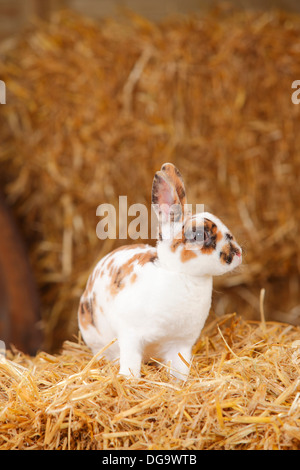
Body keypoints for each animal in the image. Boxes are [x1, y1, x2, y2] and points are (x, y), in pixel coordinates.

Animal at [78, 163, 241, 380]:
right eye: (200, 235)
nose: (237, 253)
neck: (181, 275)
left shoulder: (181, 344)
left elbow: (180, 368)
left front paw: (180, 382)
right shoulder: (130, 336)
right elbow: (130, 361)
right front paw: (129, 380)